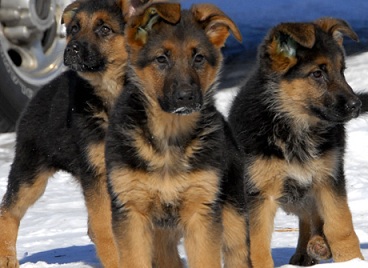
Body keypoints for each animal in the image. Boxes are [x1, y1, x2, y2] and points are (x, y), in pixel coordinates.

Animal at [0, 1, 146, 266]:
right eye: (74, 29)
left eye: (105, 29)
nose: (71, 49)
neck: (109, 93)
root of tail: (40, 93)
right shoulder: (95, 173)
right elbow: (106, 229)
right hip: (31, 172)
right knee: (8, 210)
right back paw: (6, 257)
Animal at [105, 2, 250, 268]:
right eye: (161, 59)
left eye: (198, 57)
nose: (186, 97)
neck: (169, 136)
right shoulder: (131, 212)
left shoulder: (201, 211)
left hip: (233, 217)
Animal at [229, 17, 364, 266]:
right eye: (317, 74)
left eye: (342, 71)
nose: (356, 105)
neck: (295, 126)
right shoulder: (259, 193)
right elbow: (257, 245)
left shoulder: (328, 179)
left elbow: (341, 227)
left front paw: (352, 261)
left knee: (312, 216)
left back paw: (316, 245)